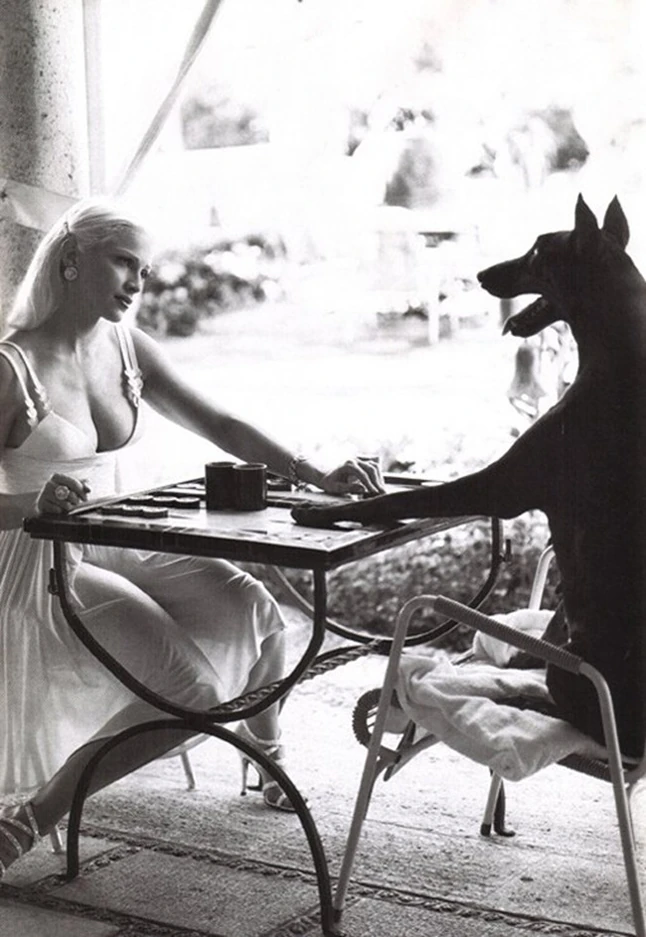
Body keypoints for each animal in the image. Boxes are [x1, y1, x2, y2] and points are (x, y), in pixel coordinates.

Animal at [293, 195, 646, 757]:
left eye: (537, 251)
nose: (480, 275)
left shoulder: (499, 484)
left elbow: (395, 501)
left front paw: (324, 510)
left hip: (575, 670)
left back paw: (521, 696)